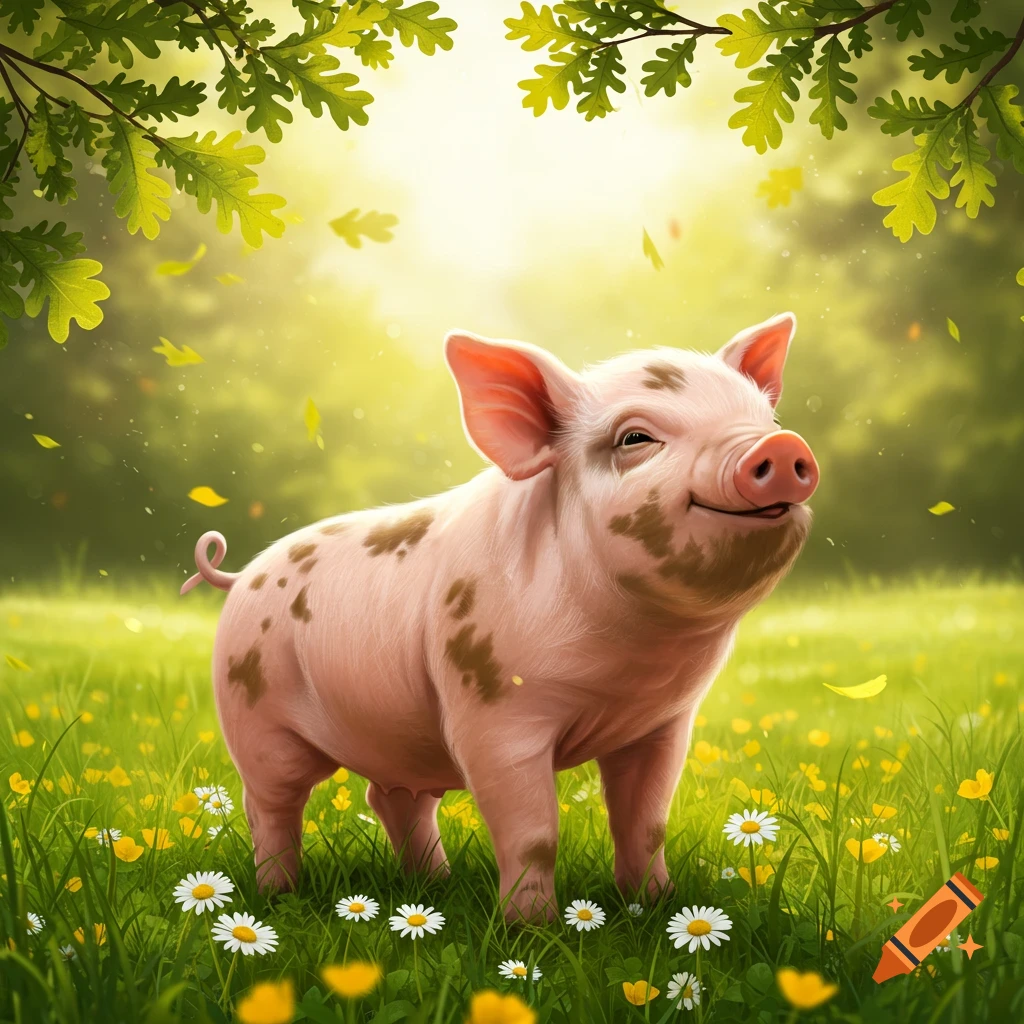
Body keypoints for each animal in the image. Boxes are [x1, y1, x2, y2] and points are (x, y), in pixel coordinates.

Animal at [181, 312, 819, 922]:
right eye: (635, 437)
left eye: (765, 417)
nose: (781, 446)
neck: (631, 665)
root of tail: (240, 576)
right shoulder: (491, 708)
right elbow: (533, 832)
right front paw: (532, 930)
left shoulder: (663, 723)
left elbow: (644, 823)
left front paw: (658, 908)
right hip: (254, 714)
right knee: (271, 804)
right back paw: (279, 896)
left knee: (392, 799)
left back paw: (435, 887)